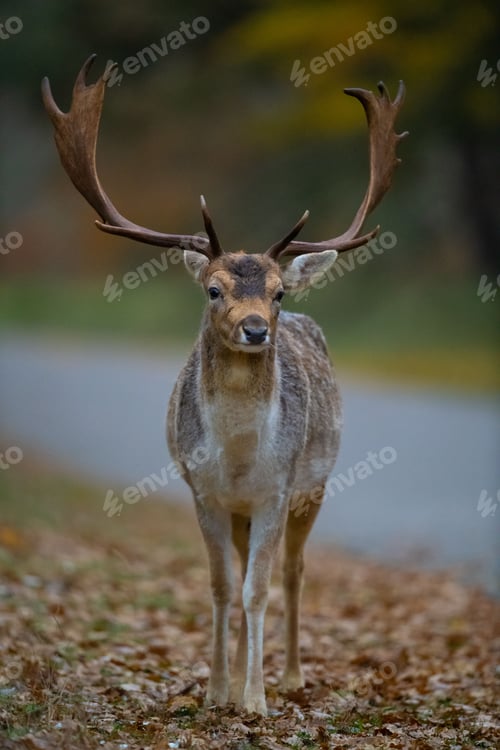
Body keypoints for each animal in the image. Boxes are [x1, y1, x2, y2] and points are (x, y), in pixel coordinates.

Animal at [42, 55, 407, 716]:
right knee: (241, 575)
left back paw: (289, 676)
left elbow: (257, 589)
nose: (256, 328)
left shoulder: (276, 492)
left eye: (278, 292)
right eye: (214, 289)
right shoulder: (203, 492)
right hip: (245, 510)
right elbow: (218, 587)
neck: (237, 461)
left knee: (292, 571)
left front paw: (256, 701)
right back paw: (237, 677)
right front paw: (216, 691)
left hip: (315, 486)